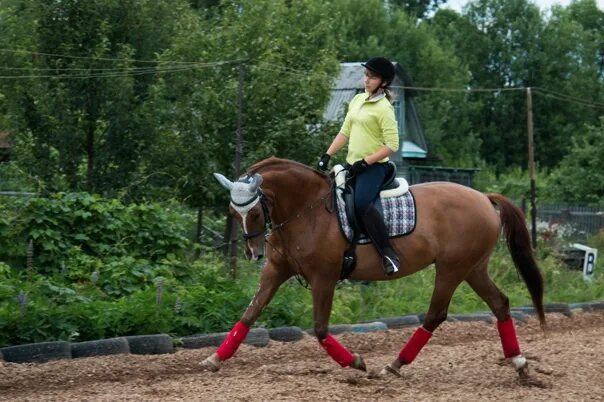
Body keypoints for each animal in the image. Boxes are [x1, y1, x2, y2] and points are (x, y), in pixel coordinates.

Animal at [203, 156, 548, 376]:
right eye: (233, 213)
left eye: (255, 213)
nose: (253, 253)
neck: (306, 210)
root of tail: (483, 198)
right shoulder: (276, 271)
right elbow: (248, 315)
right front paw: (213, 359)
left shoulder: (324, 277)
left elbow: (320, 328)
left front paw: (355, 362)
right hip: (473, 268)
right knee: (500, 303)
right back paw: (520, 364)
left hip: (452, 268)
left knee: (436, 315)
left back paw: (393, 366)